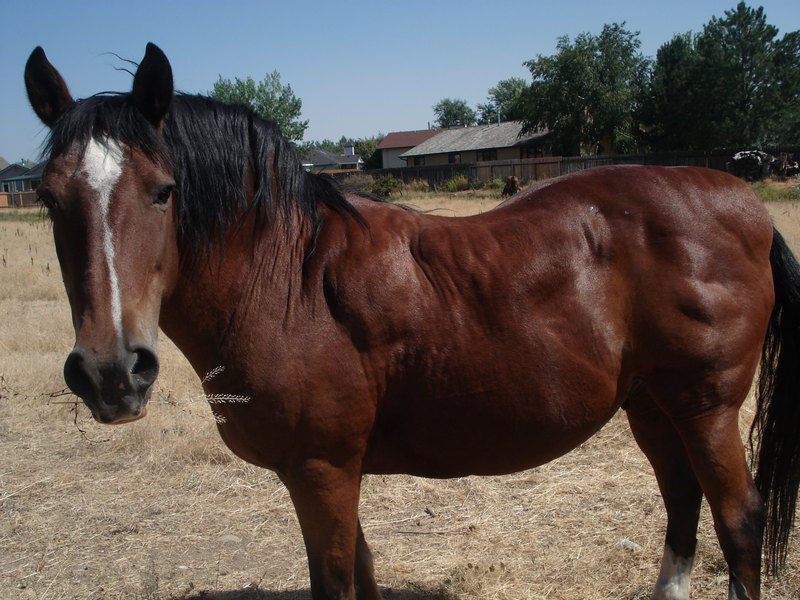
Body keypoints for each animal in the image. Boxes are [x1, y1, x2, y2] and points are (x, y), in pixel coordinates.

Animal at [25, 43, 800, 600]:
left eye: (163, 191)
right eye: (50, 196)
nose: (112, 372)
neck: (288, 280)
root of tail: (747, 206)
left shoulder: (321, 471)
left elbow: (337, 584)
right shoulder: (335, 475)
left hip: (704, 407)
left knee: (737, 519)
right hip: (651, 406)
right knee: (682, 506)